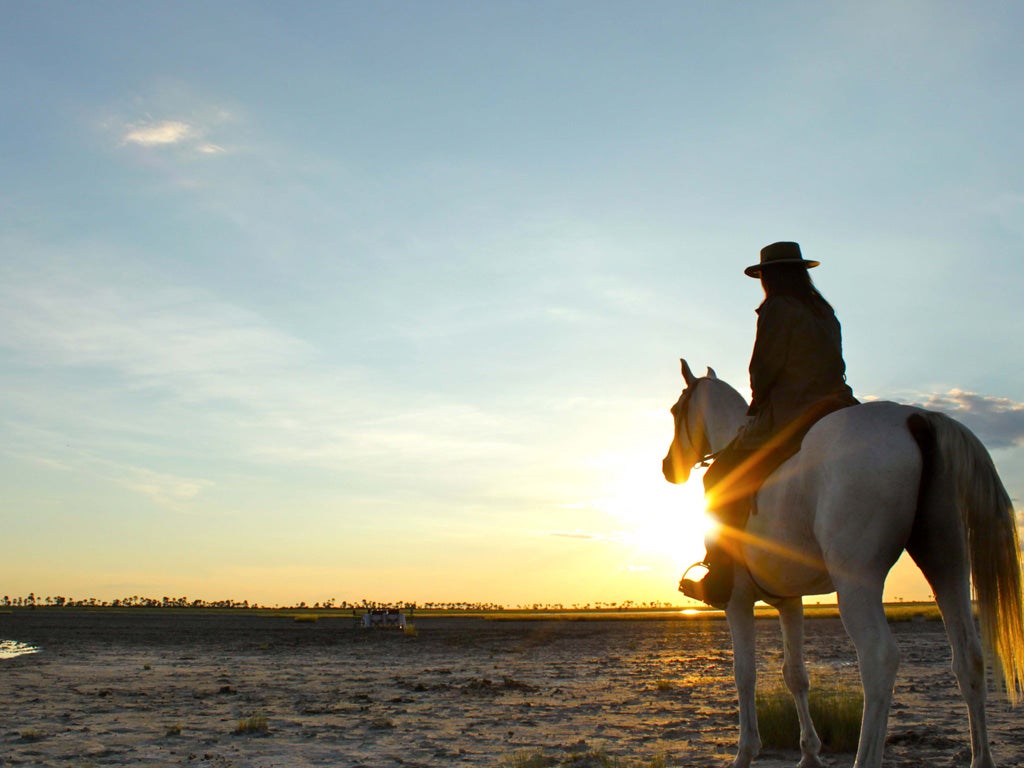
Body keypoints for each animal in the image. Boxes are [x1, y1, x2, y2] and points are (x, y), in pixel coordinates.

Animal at [663, 360, 1024, 768]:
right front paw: (809, 753)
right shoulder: (790, 602)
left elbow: (745, 674)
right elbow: (795, 674)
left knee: (879, 659)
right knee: (969, 658)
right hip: (947, 565)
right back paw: (980, 757)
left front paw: (745, 752)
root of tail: (914, 417)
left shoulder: (737, 600)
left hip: (857, 584)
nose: (667, 467)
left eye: (675, 411)